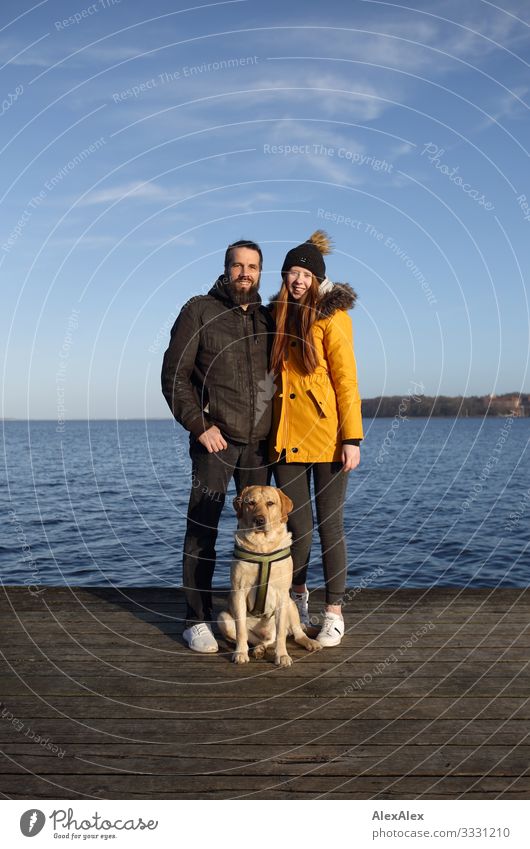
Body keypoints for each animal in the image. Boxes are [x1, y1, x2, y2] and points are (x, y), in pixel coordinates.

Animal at [216, 486, 320, 664]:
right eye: (251, 503)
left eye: (270, 503)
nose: (259, 520)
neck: (262, 546)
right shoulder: (238, 591)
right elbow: (241, 631)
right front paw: (240, 653)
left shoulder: (282, 595)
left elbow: (281, 634)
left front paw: (282, 655)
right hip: (223, 618)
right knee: (257, 639)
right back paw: (258, 649)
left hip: (291, 604)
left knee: (294, 633)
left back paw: (309, 642)